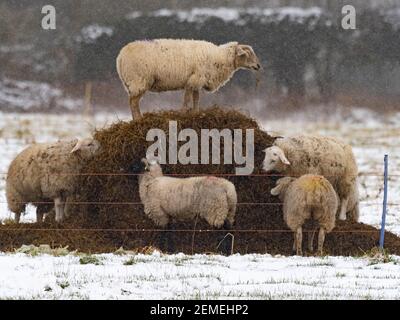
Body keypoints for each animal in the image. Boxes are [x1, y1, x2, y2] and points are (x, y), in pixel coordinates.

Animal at [115, 38, 262, 119]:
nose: (258, 66)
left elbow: (196, 99)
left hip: (134, 83)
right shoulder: (193, 79)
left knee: (132, 101)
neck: (219, 57)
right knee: (133, 102)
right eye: (247, 54)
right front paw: (183, 112)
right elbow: (187, 99)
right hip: (138, 81)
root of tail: (120, 57)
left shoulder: (197, 81)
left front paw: (196, 113)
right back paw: (138, 119)